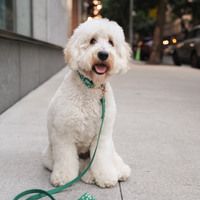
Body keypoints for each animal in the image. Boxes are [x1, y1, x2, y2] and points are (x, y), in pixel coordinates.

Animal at [42, 18, 131, 188]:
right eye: (92, 41)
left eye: (111, 42)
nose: (103, 54)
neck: (91, 88)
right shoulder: (64, 135)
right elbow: (66, 159)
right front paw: (64, 178)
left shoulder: (102, 135)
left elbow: (102, 159)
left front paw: (106, 177)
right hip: (49, 157)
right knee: (80, 164)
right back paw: (88, 175)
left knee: (112, 158)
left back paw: (120, 171)